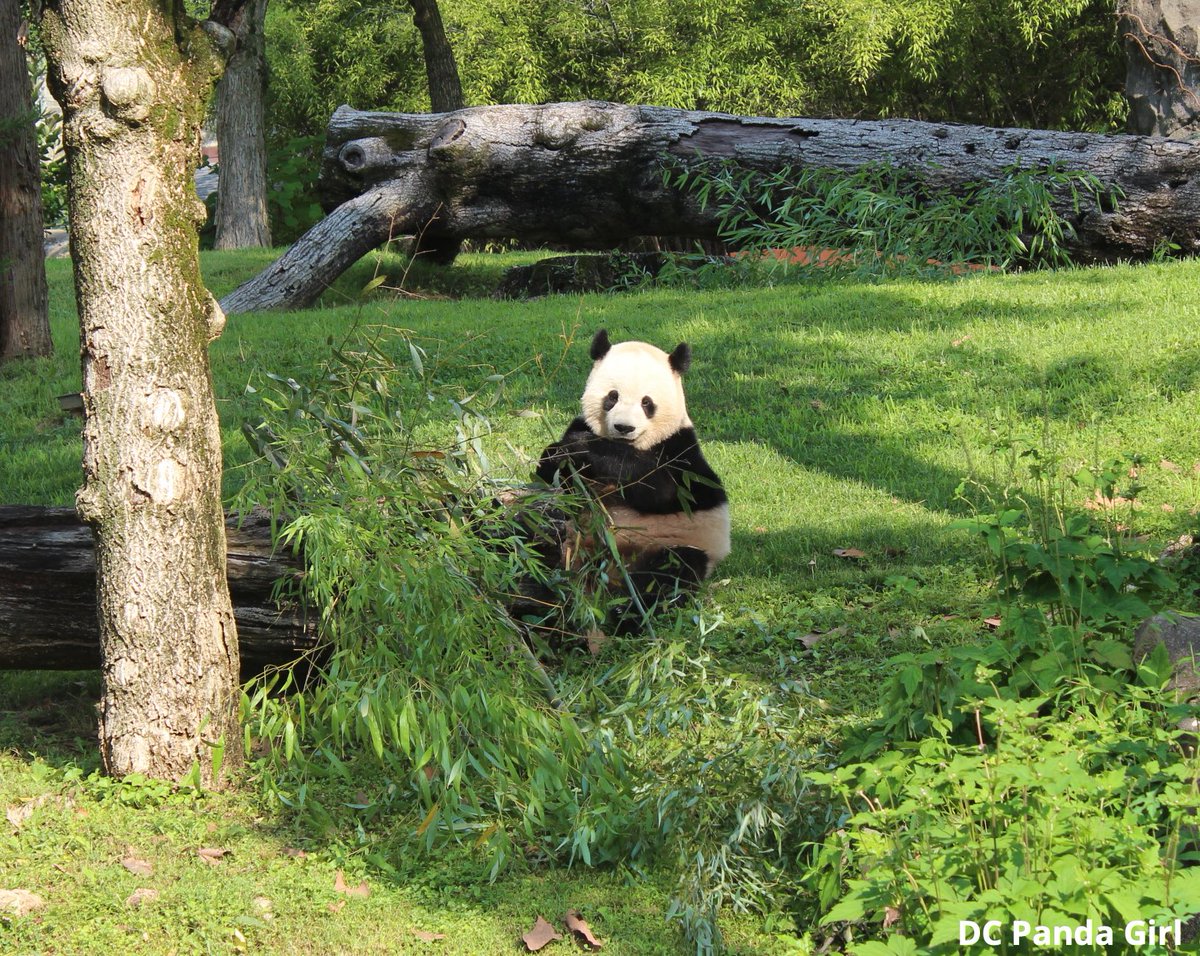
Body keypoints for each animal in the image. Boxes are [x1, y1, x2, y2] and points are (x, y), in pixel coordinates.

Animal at [534, 328, 730, 633]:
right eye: (612, 397)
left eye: (647, 403)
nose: (624, 427)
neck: (631, 445)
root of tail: (608, 573)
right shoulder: (579, 427)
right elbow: (556, 479)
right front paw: (560, 454)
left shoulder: (681, 452)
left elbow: (660, 489)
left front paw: (586, 448)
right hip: (567, 540)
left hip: (678, 543)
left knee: (666, 577)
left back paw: (625, 614)